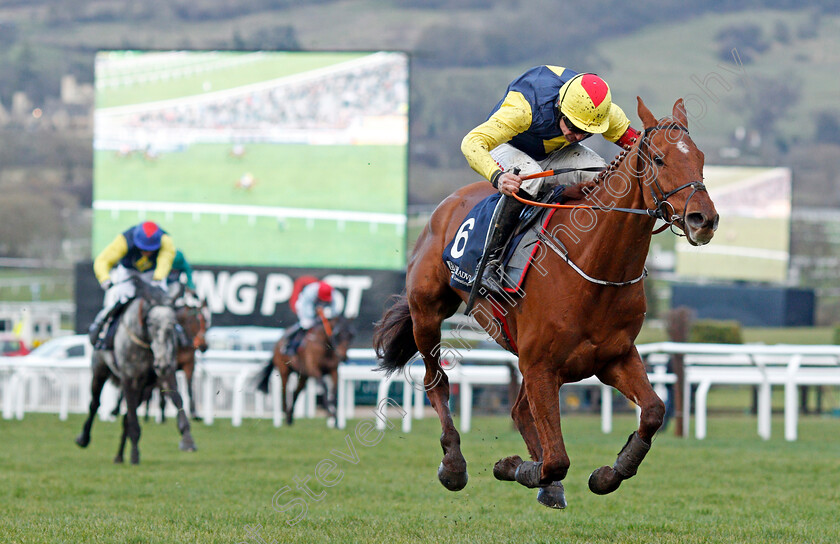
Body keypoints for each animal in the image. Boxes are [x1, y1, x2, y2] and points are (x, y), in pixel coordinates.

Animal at [75, 278, 197, 466]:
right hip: (100, 371)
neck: (145, 343)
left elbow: (178, 400)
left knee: (125, 417)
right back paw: (84, 438)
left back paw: (119, 456)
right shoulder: (128, 379)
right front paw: (134, 454)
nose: (162, 363)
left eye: (172, 324)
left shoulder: (165, 374)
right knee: (94, 404)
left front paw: (187, 439)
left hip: (142, 388)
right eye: (151, 323)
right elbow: (131, 419)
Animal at [376, 99, 720, 510]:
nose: (704, 219)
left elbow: (653, 411)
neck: (592, 265)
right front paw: (513, 467)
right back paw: (454, 465)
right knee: (436, 381)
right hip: (427, 311)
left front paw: (610, 472)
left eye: (700, 158)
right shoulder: (541, 365)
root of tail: (447, 202)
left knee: (519, 410)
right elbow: (557, 459)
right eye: (658, 159)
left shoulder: (614, 357)